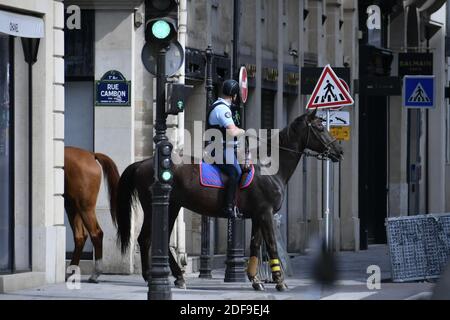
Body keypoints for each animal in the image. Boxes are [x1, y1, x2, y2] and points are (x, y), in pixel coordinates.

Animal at [64, 147, 119, 282]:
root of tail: (91, 155)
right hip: (73, 207)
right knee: (80, 236)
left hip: (84, 207)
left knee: (96, 234)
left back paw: (95, 274)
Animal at [114, 109, 342, 290]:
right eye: (320, 127)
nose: (339, 151)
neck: (269, 167)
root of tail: (144, 162)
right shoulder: (266, 213)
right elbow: (271, 245)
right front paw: (279, 281)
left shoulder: (258, 215)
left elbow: (255, 245)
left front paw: (255, 279)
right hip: (161, 207)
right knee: (147, 238)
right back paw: (158, 277)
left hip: (171, 207)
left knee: (152, 239)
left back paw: (172, 277)